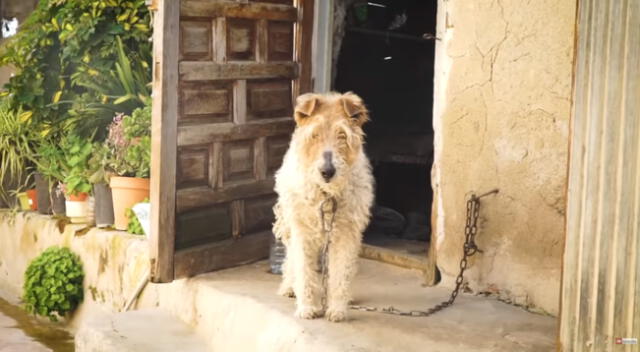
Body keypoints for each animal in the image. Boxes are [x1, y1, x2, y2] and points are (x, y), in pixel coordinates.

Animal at [272, 91, 376, 322]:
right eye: (315, 134)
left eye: (342, 134)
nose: (327, 172)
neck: (326, 194)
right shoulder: (301, 231)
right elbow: (303, 270)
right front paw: (307, 307)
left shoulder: (346, 233)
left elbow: (341, 272)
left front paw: (337, 309)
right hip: (288, 224)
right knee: (290, 260)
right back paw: (289, 287)